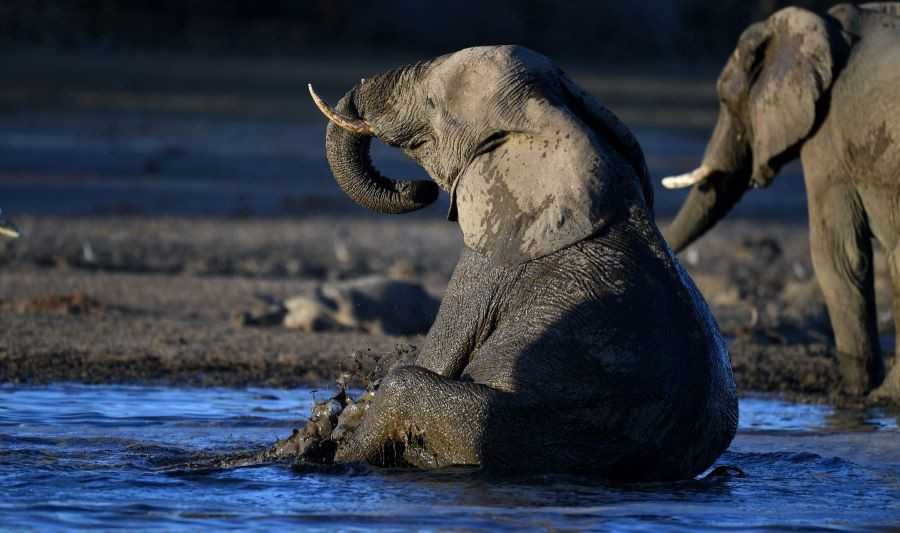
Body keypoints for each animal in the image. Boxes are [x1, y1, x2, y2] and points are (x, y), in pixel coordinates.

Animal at [306, 45, 736, 478]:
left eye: (431, 102)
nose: (419, 189)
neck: (556, 122)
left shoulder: (494, 254)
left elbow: (439, 354)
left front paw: (332, 431)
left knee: (406, 386)